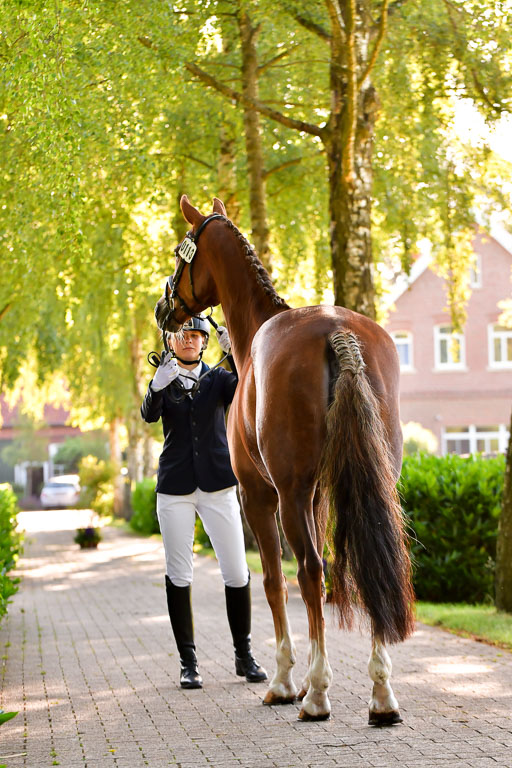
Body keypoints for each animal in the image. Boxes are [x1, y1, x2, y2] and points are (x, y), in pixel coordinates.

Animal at [155, 196, 415, 723]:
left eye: (180, 252)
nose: (164, 307)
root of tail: (338, 329)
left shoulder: (258, 496)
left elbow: (274, 581)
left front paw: (286, 680)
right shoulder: (315, 497)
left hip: (288, 495)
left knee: (309, 571)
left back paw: (315, 697)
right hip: (373, 483)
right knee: (375, 565)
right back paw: (381, 695)